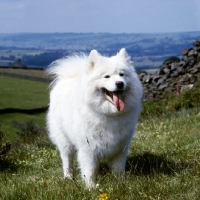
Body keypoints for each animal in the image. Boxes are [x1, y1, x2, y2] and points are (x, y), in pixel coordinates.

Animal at [46, 48, 144, 188]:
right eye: (106, 76)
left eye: (122, 75)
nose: (120, 83)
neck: (110, 114)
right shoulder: (88, 150)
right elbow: (90, 171)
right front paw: (90, 187)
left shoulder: (120, 148)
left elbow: (118, 169)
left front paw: (120, 184)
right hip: (65, 141)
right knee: (67, 160)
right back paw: (68, 177)